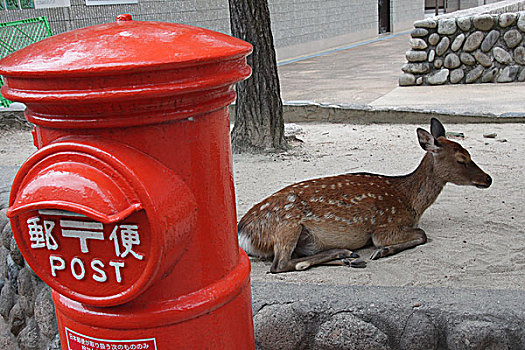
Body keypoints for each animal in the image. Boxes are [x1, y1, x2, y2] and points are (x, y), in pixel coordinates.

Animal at [237, 119, 492, 274]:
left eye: (469, 153)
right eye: (461, 159)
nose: (488, 179)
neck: (410, 202)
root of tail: (243, 233)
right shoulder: (386, 226)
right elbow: (421, 234)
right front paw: (383, 251)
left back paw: (349, 257)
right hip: (286, 225)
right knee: (279, 265)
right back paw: (345, 253)